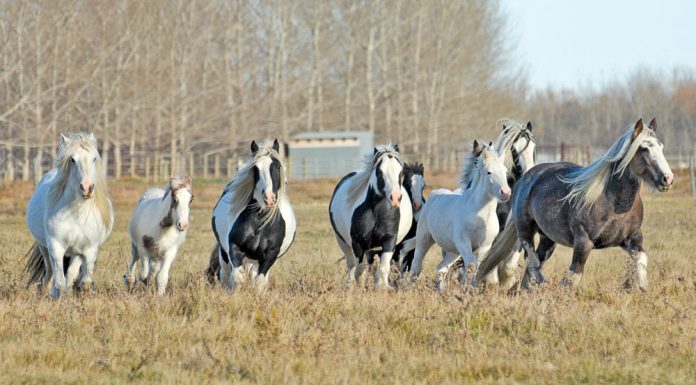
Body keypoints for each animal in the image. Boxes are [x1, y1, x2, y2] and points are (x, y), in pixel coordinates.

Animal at [24, 132, 114, 296]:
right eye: (72, 159)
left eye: (94, 158)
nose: (87, 188)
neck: (77, 214)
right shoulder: (56, 247)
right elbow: (59, 281)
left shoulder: (88, 250)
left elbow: (84, 281)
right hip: (44, 248)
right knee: (49, 273)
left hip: (75, 253)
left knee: (70, 273)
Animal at [205, 138, 294, 292]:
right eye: (256, 169)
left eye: (277, 166)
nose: (269, 198)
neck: (261, 221)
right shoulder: (234, 247)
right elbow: (237, 278)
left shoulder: (270, 254)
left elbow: (259, 282)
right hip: (225, 253)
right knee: (225, 274)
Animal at [330, 145, 414, 288]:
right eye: (379, 172)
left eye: (401, 172)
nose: (395, 198)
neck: (377, 213)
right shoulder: (357, 243)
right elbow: (359, 271)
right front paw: (361, 288)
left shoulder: (389, 240)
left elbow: (383, 268)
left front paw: (382, 288)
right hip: (343, 242)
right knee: (352, 265)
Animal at [408, 140, 512, 290]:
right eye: (489, 172)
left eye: (505, 171)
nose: (505, 192)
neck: (480, 214)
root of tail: (434, 195)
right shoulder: (463, 242)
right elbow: (470, 265)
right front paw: (466, 289)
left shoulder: (485, 245)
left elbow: (478, 267)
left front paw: (471, 289)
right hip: (424, 239)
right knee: (416, 266)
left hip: (453, 250)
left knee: (441, 268)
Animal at [478, 118, 676, 290]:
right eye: (644, 149)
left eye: (660, 147)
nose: (667, 178)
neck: (615, 204)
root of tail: (527, 176)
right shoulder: (583, 242)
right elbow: (573, 276)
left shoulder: (633, 238)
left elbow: (642, 261)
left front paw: (640, 289)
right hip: (525, 229)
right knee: (532, 260)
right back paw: (541, 285)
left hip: (548, 238)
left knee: (535, 261)